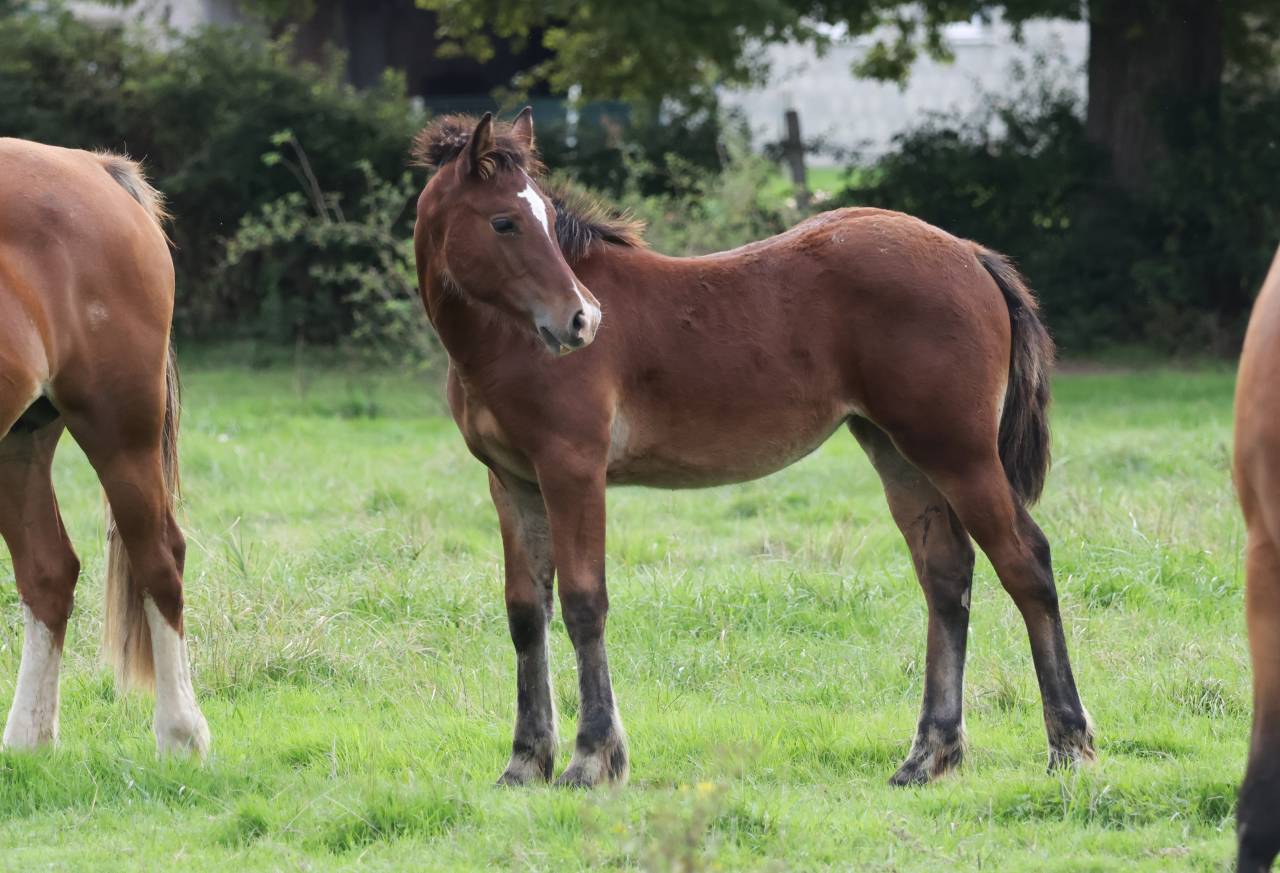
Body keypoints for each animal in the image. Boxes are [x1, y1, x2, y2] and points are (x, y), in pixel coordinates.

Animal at [0, 139, 208, 756]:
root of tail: (92, 166)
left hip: (117, 429)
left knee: (159, 556)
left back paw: (180, 735)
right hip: (20, 440)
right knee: (48, 571)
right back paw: (28, 742)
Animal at [411, 110, 1094, 787]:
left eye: (551, 222)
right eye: (504, 221)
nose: (582, 320)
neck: (505, 341)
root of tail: (972, 255)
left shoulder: (572, 469)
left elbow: (584, 603)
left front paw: (591, 760)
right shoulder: (512, 481)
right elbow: (526, 613)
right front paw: (524, 763)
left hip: (959, 452)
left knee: (1025, 562)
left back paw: (1069, 745)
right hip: (898, 451)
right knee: (946, 574)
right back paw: (928, 754)